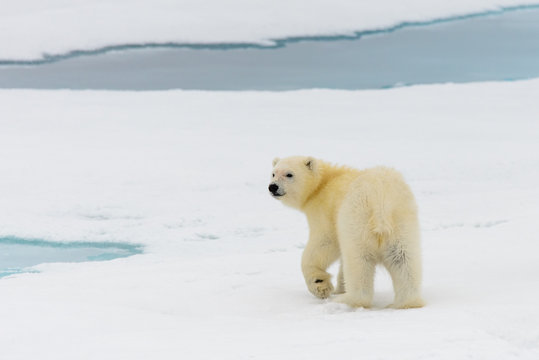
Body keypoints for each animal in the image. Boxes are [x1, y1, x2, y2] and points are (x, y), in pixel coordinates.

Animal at [270, 155, 426, 310]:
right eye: (273, 173)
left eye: (289, 174)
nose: (272, 187)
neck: (323, 183)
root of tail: (380, 199)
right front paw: (339, 287)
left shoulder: (326, 212)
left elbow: (325, 242)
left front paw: (321, 285)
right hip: (401, 222)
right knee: (403, 259)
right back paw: (407, 303)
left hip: (357, 220)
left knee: (359, 260)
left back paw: (347, 300)